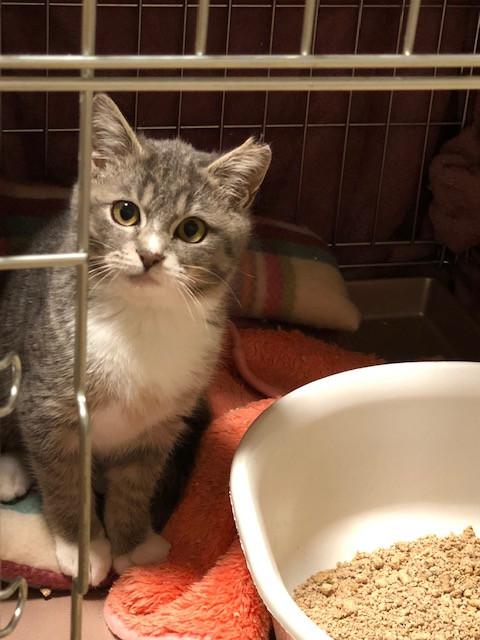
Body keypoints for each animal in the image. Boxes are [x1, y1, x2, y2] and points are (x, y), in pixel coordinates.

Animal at [0, 93, 271, 585]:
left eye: (191, 230)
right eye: (125, 212)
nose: (150, 255)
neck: (141, 321)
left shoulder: (160, 423)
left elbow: (136, 484)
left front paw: (133, 542)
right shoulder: (49, 405)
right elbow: (64, 480)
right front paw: (83, 547)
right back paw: (10, 469)